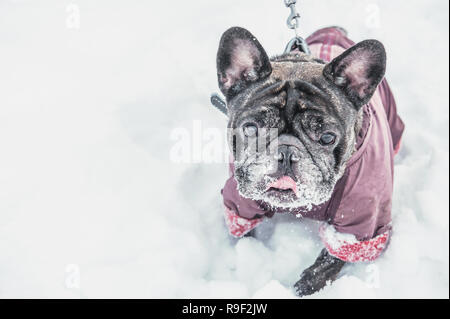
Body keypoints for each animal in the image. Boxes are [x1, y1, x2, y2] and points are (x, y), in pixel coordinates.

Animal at [216, 26, 406, 298]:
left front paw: (308, 285)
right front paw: (249, 256)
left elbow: (334, 258)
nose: (286, 152)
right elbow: (244, 231)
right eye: (251, 128)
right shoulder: (240, 202)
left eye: (327, 137)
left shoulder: (362, 221)